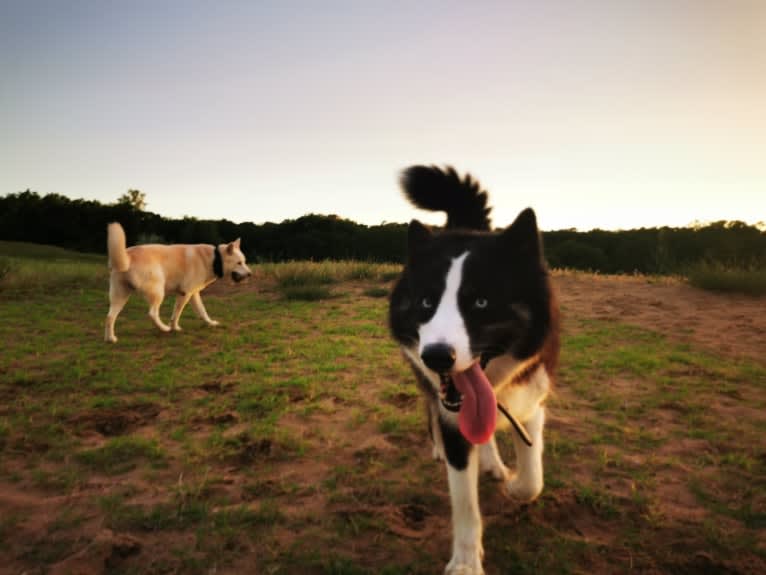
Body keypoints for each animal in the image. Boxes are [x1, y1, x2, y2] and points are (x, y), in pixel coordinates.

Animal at [105, 223, 254, 342]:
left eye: (244, 262)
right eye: (239, 263)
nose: (250, 274)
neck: (215, 260)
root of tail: (128, 257)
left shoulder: (194, 294)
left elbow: (202, 311)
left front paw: (210, 323)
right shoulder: (185, 293)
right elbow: (176, 314)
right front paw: (174, 328)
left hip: (120, 296)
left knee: (110, 317)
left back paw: (110, 339)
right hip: (158, 293)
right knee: (152, 313)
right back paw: (164, 328)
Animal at [388, 164, 560, 572]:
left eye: (481, 302)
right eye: (426, 302)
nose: (437, 356)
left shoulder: (531, 399)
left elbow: (533, 478)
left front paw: (514, 484)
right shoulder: (452, 420)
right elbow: (464, 503)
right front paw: (466, 563)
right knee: (430, 409)